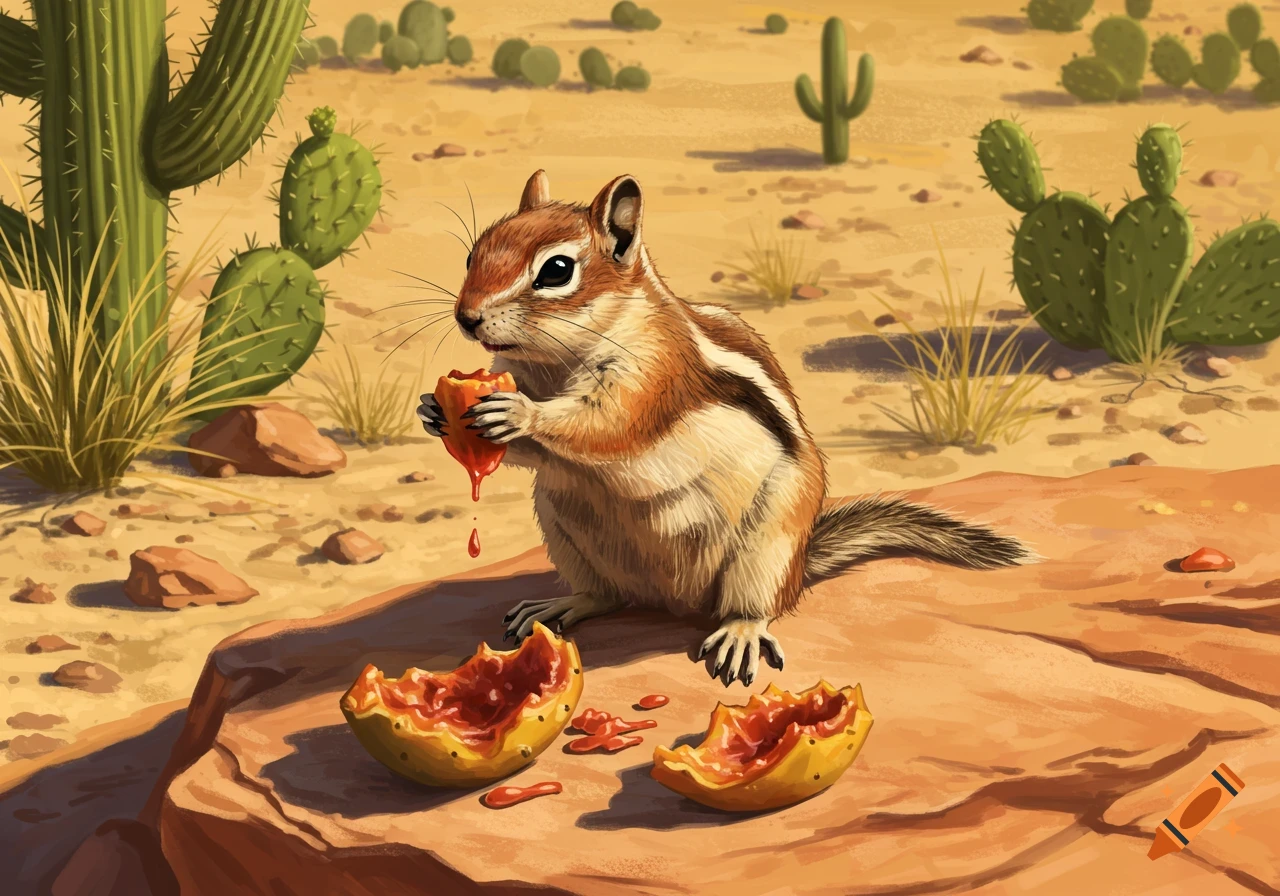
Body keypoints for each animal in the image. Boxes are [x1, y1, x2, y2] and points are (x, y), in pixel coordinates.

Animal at [417, 170, 1036, 687]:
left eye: (557, 270)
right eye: (473, 254)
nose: (467, 317)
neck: (554, 364)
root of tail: (672, 599)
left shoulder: (654, 375)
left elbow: (603, 425)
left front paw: (519, 414)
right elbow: (535, 452)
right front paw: (432, 409)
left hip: (767, 544)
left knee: (751, 605)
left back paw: (740, 632)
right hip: (562, 526)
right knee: (608, 595)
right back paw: (563, 605)